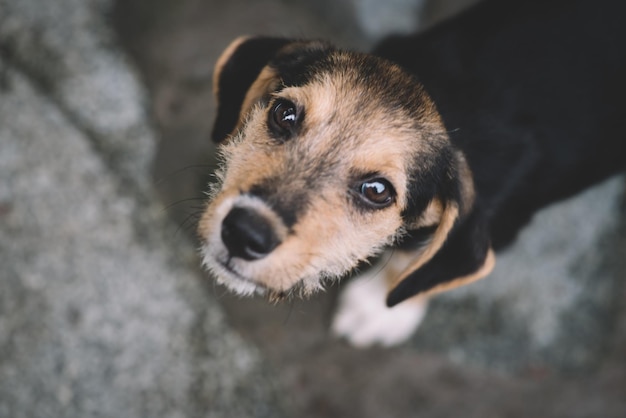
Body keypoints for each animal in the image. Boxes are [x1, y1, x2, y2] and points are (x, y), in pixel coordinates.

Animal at [196, 0, 624, 346]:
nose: (244, 233)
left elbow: (418, 268)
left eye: (377, 190)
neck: (453, 107)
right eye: (284, 114)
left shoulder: (501, 225)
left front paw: (379, 310)